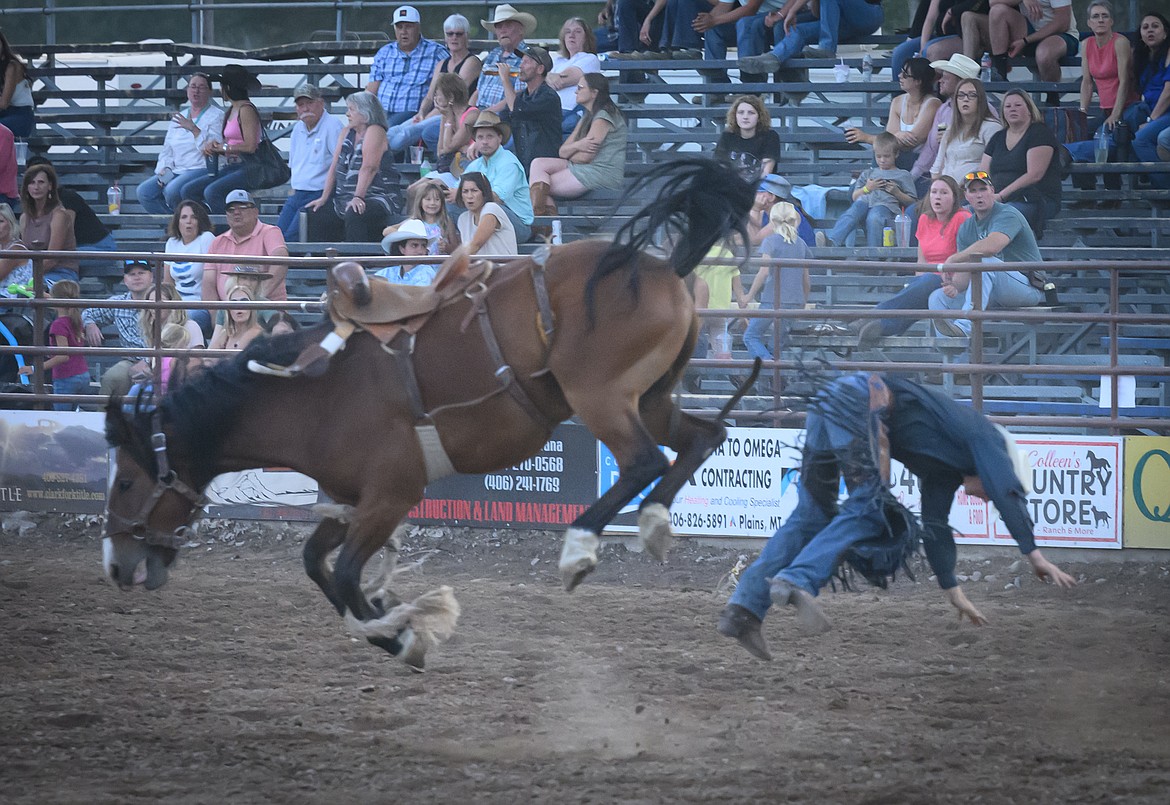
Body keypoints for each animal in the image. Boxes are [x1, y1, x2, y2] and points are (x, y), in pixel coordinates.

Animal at [102, 155, 758, 664]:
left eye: (128, 481)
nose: (114, 565)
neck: (313, 390)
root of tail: (659, 266)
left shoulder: (391, 494)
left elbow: (344, 573)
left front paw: (399, 632)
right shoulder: (352, 497)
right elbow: (317, 563)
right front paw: (393, 629)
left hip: (599, 397)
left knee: (644, 461)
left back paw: (580, 549)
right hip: (649, 398)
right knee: (701, 437)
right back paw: (653, 524)